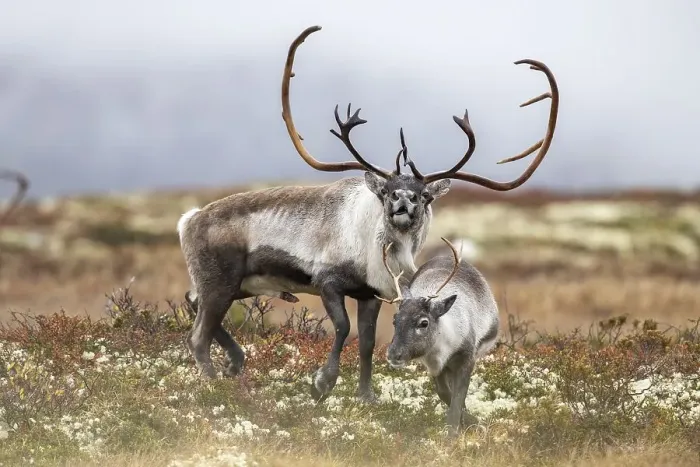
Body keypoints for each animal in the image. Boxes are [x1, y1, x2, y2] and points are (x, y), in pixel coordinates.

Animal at [176, 25, 559, 403]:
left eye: (424, 196)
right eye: (388, 191)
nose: (403, 200)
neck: (380, 250)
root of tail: (189, 219)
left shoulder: (370, 295)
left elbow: (368, 342)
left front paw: (366, 396)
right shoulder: (328, 282)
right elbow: (343, 328)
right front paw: (323, 382)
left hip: (237, 285)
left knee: (192, 302)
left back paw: (235, 361)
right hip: (220, 282)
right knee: (197, 334)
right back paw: (213, 380)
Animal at [381, 237, 499, 436]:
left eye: (423, 322)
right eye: (395, 320)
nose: (393, 354)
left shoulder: (466, 360)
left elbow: (457, 399)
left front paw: (457, 433)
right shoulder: (436, 367)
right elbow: (445, 394)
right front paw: (469, 423)